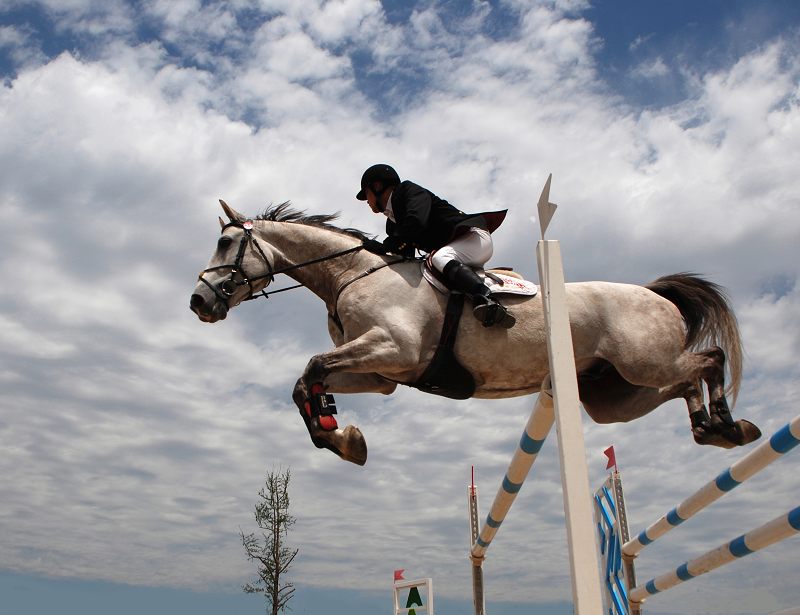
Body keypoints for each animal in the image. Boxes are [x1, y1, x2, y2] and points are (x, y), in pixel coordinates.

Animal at [191, 202, 760, 466]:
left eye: (226, 243)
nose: (199, 302)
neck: (352, 273)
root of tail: (655, 293)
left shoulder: (392, 348)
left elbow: (310, 368)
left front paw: (338, 436)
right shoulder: (380, 373)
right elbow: (304, 382)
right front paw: (340, 436)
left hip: (644, 363)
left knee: (708, 360)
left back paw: (727, 423)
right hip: (615, 396)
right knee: (683, 382)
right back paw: (713, 429)